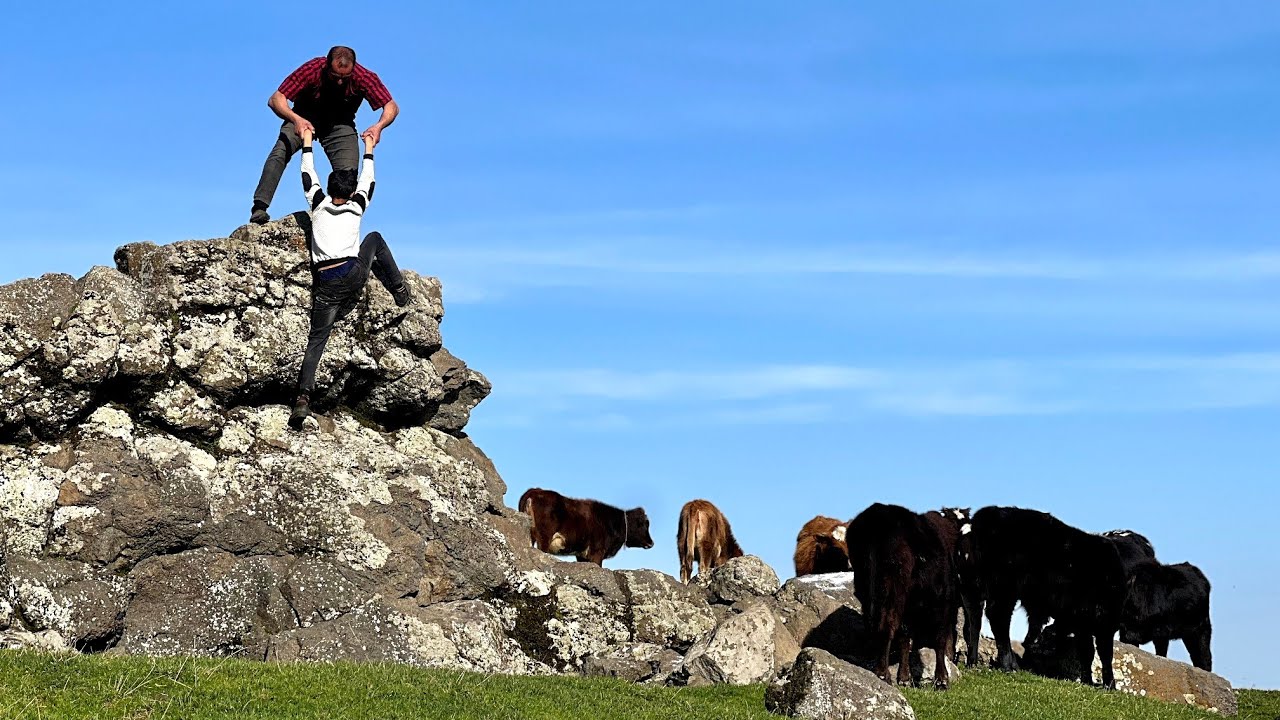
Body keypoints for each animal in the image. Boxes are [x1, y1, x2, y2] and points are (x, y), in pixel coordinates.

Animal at [517, 487, 655, 566]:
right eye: (642, 524)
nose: (651, 543)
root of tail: (535, 490)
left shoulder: (582, 555)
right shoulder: (597, 552)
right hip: (544, 538)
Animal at [845, 503, 958, 689]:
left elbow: (905, 637)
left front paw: (904, 678)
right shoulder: (942, 598)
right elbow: (939, 638)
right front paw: (941, 679)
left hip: (866, 587)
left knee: (876, 626)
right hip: (894, 589)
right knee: (886, 625)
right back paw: (883, 674)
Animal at [968, 506, 1125, 689]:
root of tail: (989, 514)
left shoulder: (1083, 621)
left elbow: (1087, 651)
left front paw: (1088, 680)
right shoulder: (1102, 621)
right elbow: (1104, 653)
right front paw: (1109, 684)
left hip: (980, 586)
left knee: (976, 618)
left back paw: (978, 662)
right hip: (1005, 587)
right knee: (999, 617)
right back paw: (1008, 665)